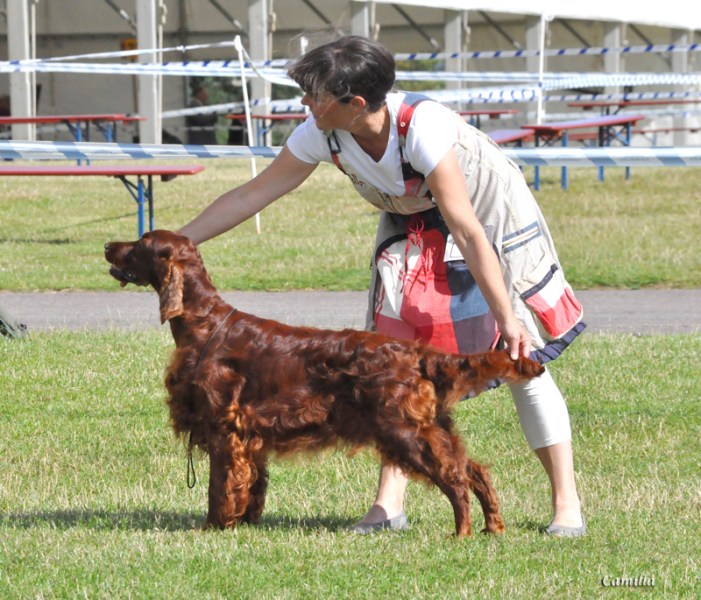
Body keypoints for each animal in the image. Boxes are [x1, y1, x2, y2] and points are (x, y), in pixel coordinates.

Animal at [105, 229, 544, 537]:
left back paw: (462, 532)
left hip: (404, 431)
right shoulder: (250, 436)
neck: (205, 324)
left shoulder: (223, 429)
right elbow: (252, 485)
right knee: (474, 470)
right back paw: (492, 527)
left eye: (142, 242)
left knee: (454, 478)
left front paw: (214, 527)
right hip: (429, 426)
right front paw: (245, 523)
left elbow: (221, 485)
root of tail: (417, 353)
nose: (108, 245)